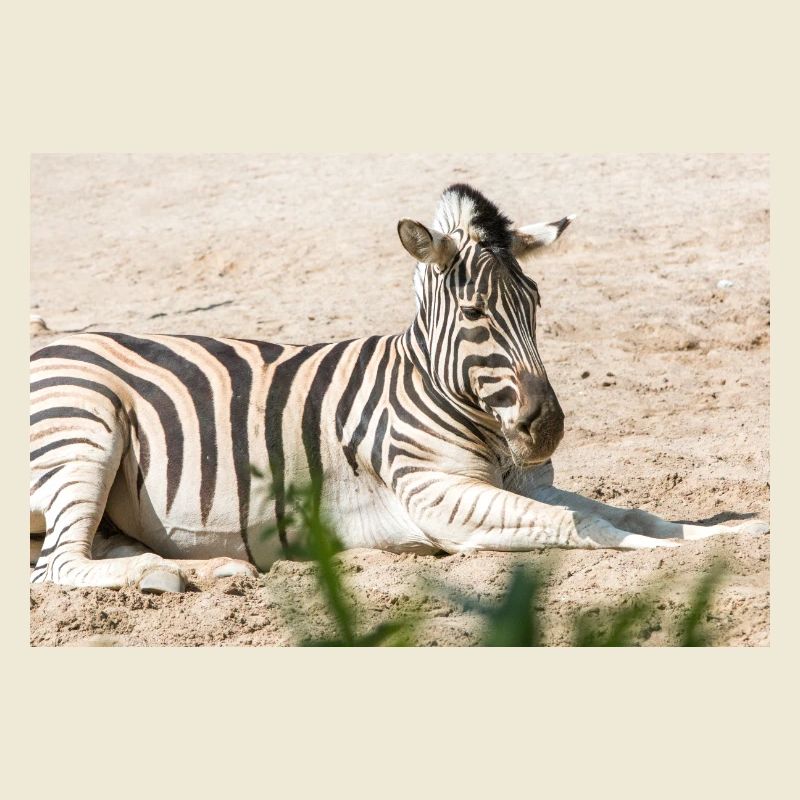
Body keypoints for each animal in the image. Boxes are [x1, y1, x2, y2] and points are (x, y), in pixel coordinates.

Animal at [29, 183, 769, 593]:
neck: (436, 389)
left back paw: (197, 571)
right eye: (475, 314)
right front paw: (667, 556)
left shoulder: (520, 483)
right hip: (85, 426)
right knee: (58, 567)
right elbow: (585, 526)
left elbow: (635, 513)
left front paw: (729, 531)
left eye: (536, 302)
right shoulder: (437, 496)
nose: (547, 429)